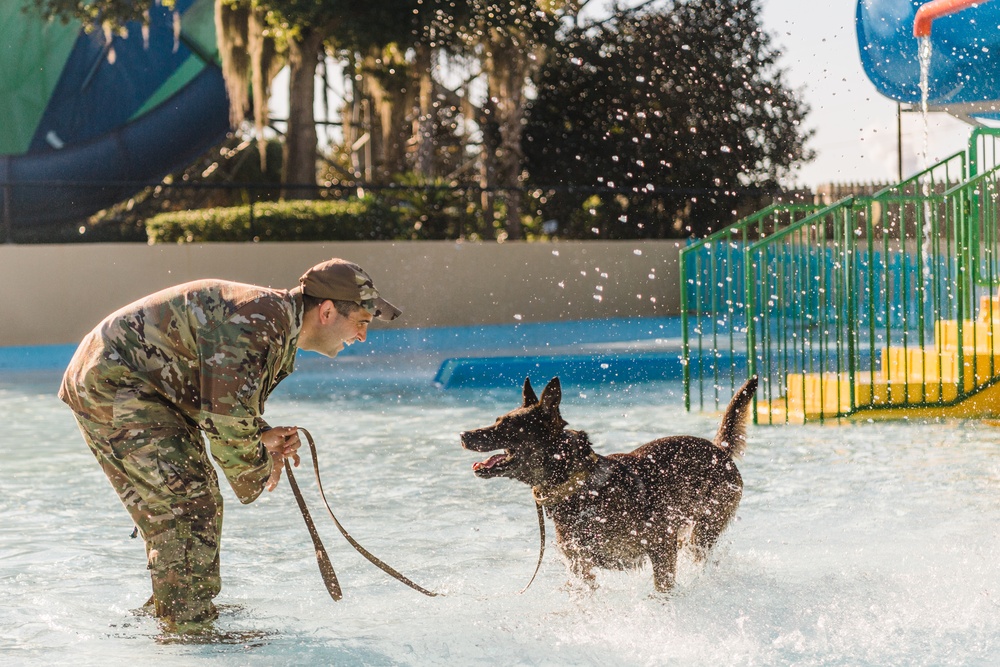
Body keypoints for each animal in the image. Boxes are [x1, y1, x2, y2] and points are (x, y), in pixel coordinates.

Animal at [460, 376, 756, 596]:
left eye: (507, 425)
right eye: (497, 420)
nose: (463, 434)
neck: (578, 486)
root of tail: (720, 450)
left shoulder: (660, 544)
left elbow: (662, 587)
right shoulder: (580, 564)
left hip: (705, 528)